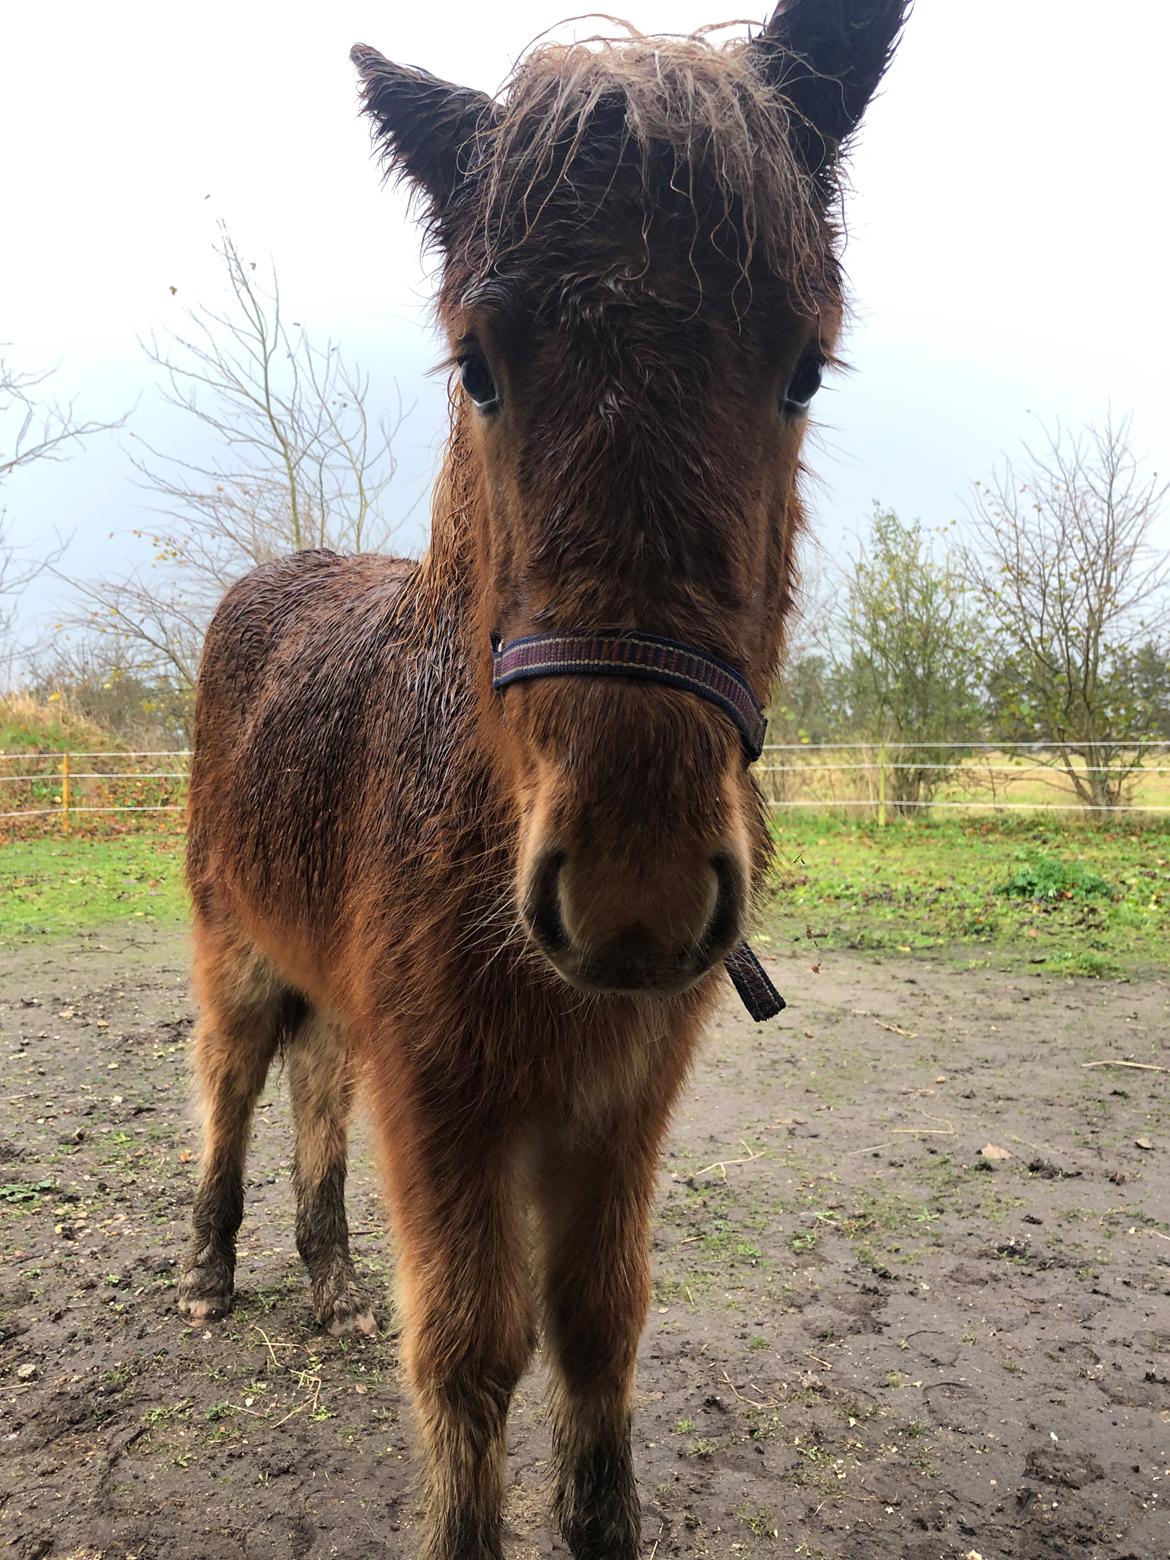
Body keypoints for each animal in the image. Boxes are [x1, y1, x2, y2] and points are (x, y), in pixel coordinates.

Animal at [183, 6, 911, 1553]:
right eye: (480, 368)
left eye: (802, 368)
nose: (635, 890)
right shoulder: (446, 1095)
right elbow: (470, 1352)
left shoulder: (619, 1103)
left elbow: (599, 1329)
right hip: (231, 943)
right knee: (231, 1074)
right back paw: (211, 1270)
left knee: (314, 1085)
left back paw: (329, 1280)